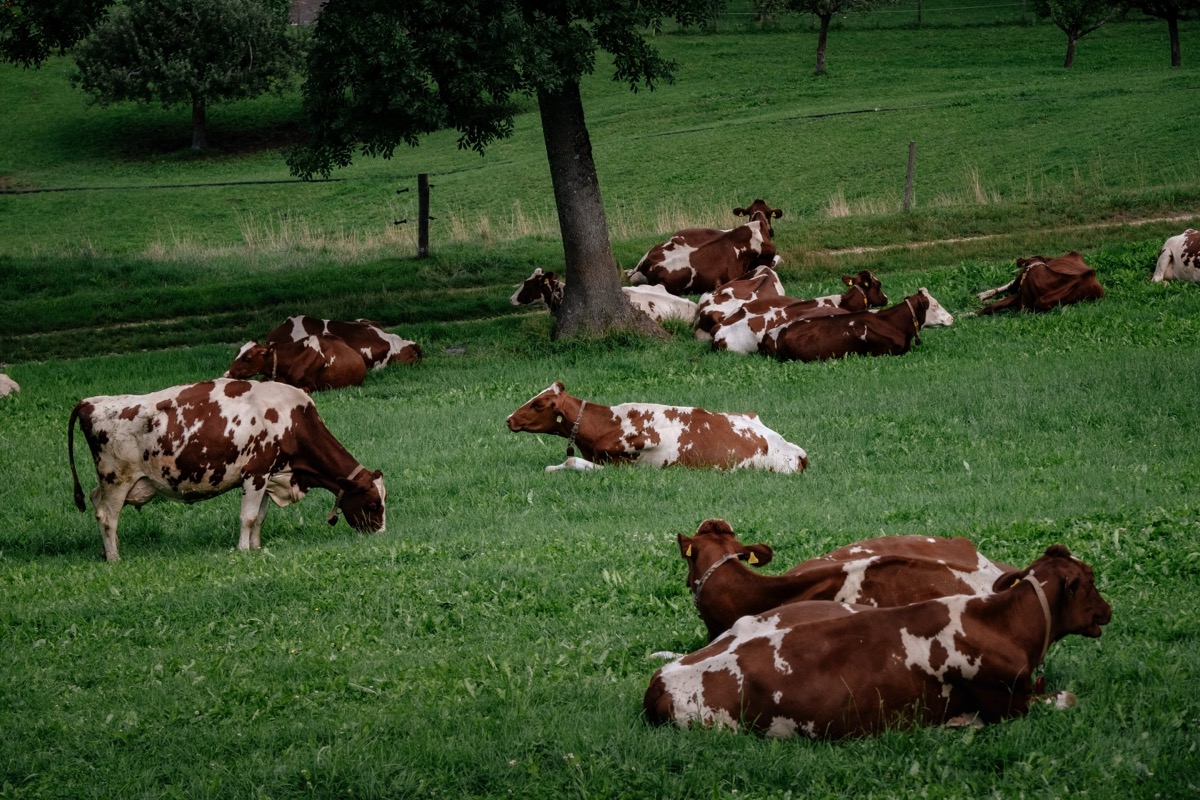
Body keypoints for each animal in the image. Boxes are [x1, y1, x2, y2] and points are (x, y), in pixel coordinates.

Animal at [67, 378, 386, 562]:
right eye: (373, 504)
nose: (380, 533)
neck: (291, 419)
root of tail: (92, 402)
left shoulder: (268, 476)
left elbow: (259, 518)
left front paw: (256, 547)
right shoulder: (254, 474)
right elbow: (248, 517)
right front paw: (244, 549)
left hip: (113, 482)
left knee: (96, 501)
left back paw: (105, 551)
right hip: (117, 479)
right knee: (107, 517)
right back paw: (114, 557)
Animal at [644, 544, 1112, 738]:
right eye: (1090, 579)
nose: (1108, 610)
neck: (999, 623)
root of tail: (658, 683)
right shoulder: (1010, 703)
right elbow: (1067, 698)